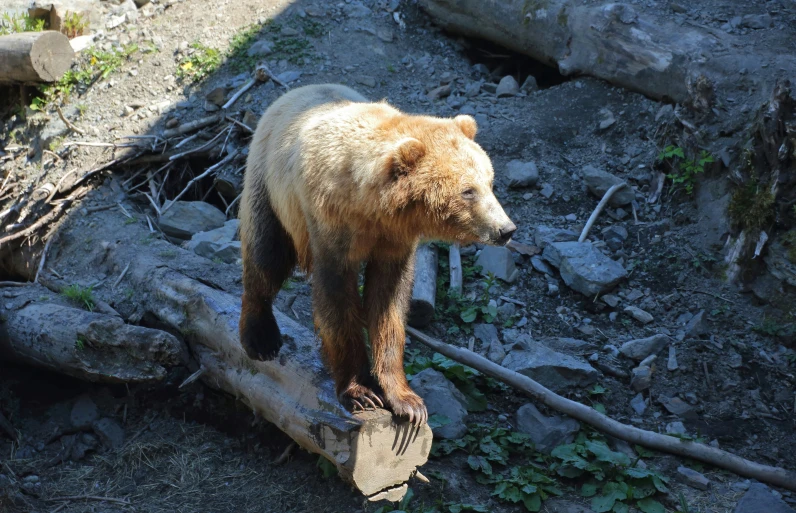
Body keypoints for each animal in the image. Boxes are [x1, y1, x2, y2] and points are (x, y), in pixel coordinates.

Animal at [238, 85, 516, 424]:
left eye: (490, 182)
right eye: (468, 191)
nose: (506, 229)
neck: (371, 206)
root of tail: (289, 94)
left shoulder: (395, 241)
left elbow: (388, 304)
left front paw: (407, 401)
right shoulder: (331, 224)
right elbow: (337, 299)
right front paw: (361, 392)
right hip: (271, 188)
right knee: (265, 256)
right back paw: (260, 337)